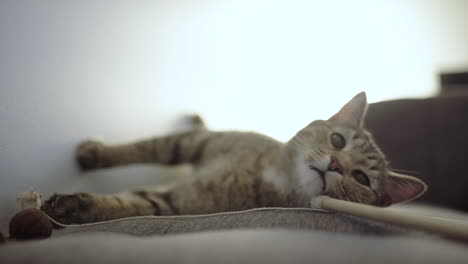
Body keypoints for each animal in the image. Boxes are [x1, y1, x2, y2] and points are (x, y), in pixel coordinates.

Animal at [41, 92, 428, 224]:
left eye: (361, 178)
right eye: (337, 139)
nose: (335, 165)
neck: (273, 173)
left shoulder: (176, 203)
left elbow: (130, 204)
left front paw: (72, 207)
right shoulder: (197, 143)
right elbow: (149, 147)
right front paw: (94, 154)